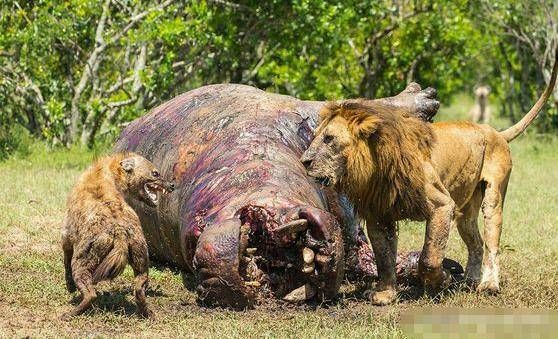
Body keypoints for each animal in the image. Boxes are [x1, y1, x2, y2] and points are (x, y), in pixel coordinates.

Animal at [302, 52, 558, 306]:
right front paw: (385, 294)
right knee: (476, 243)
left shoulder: (441, 205)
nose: (304, 161)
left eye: (329, 139)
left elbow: (429, 256)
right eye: (316, 136)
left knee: (492, 242)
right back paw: (469, 281)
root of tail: (495, 131)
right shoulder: (378, 212)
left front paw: (441, 280)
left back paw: (489, 285)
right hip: (466, 210)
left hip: (493, 196)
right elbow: (384, 258)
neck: (375, 168)